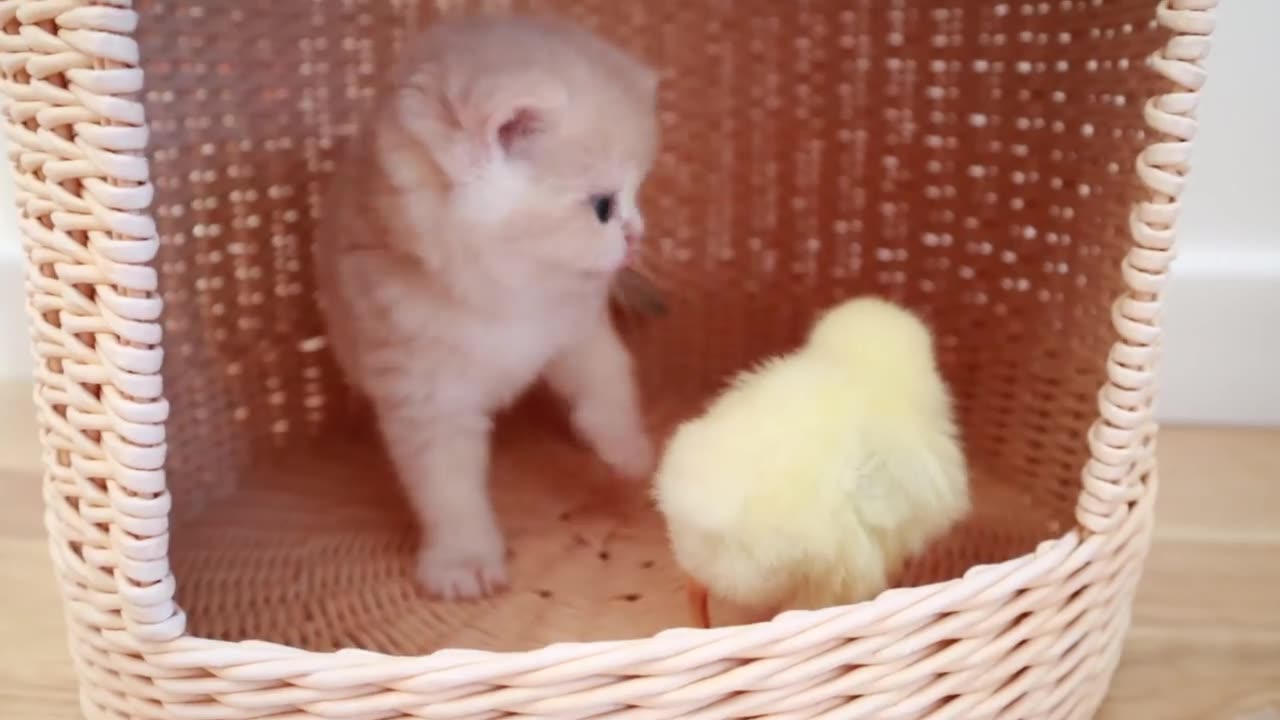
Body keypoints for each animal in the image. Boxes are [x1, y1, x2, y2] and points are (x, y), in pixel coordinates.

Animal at [312, 16, 660, 597]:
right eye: (603, 207)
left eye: (638, 193)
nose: (635, 237)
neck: (508, 298)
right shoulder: (424, 393)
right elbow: (447, 488)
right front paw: (463, 560)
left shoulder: (577, 328)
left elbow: (609, 381)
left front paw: (627, 449)